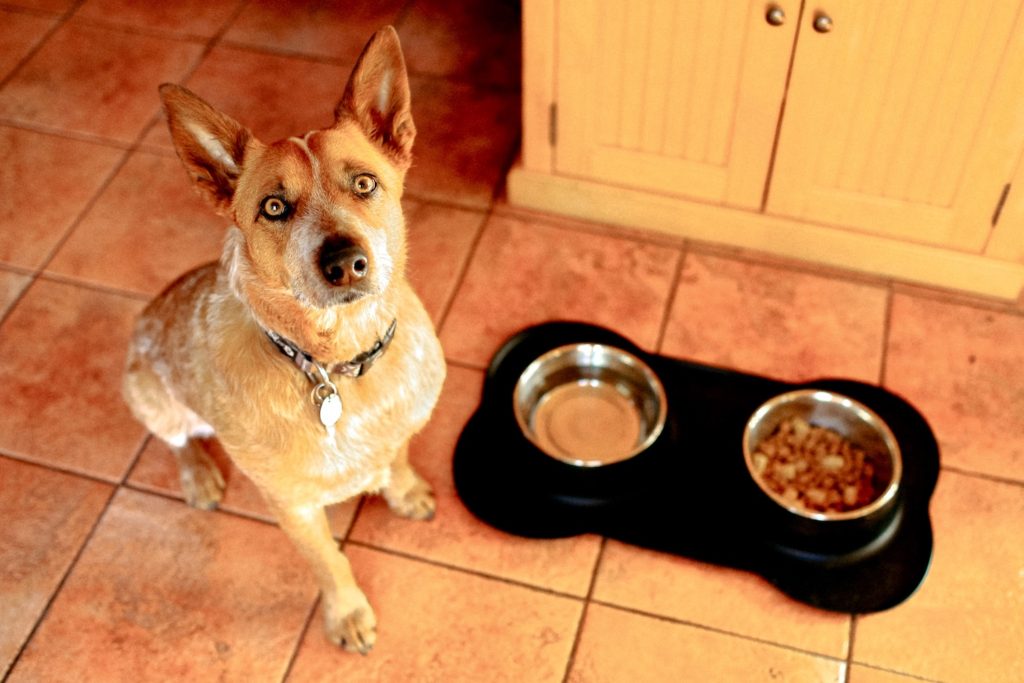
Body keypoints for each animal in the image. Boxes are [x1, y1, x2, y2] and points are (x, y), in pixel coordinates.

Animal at [120, 28, 444, 655]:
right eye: (274, 207)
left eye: (364, 183)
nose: (344, 262)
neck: (339, 365)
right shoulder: (292, 505)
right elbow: (330, 564)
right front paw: (347, 615)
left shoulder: (401, 423)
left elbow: (398, 453)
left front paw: (405, 488)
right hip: (145, 391)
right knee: (179, 440)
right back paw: (199, 475)